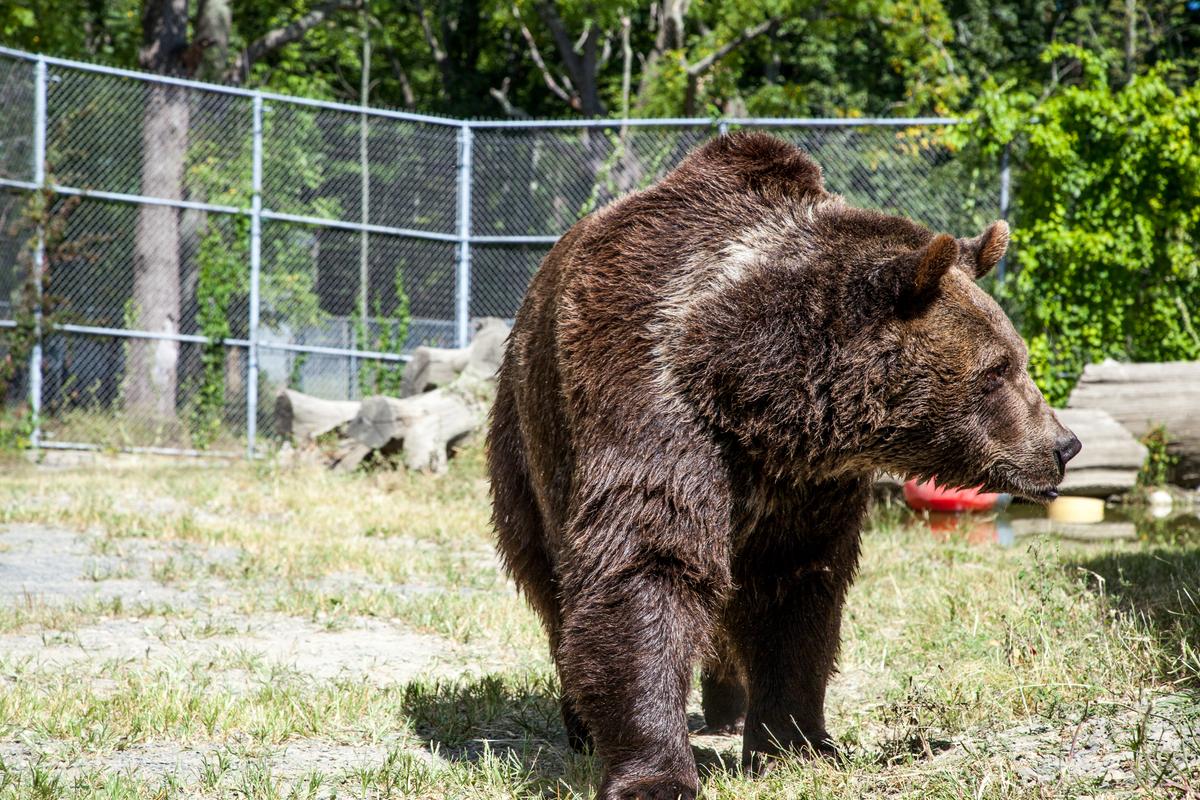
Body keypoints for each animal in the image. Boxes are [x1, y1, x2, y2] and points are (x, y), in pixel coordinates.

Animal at [482, 128, 1084, 796]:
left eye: (1017, 358)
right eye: (997, 369)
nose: (1062, 445)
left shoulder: (807, 487)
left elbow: (795, 596)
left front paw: (796, 745)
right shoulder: (656, 410)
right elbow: (648, 566)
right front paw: (656, 773)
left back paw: (727, 702)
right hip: (528, 441)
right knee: (552, 581)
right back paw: (584, 725)